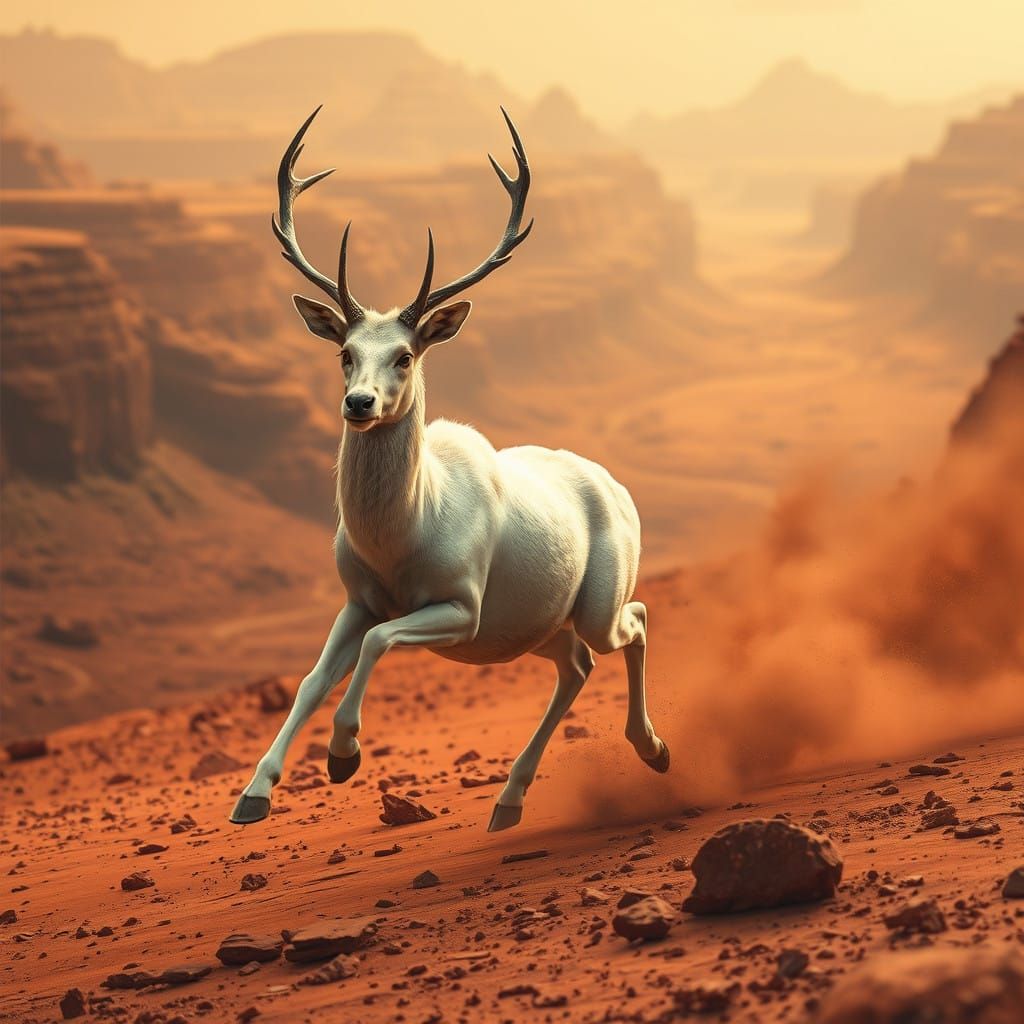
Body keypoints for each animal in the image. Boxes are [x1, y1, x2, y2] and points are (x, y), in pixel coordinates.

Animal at [229, 106, 669, 833]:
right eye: (345, 353)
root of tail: (618, 488)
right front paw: (254, 794)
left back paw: (654, 751)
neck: (406, 532)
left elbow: (379, 642)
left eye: (405, 355)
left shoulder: (460, 607)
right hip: (534, 625)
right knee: (575, 667)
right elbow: (313, 678)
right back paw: (509, 801)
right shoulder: (356, 600)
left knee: (632, 621)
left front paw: (344, 756)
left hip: (591, 604)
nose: (359, 403)